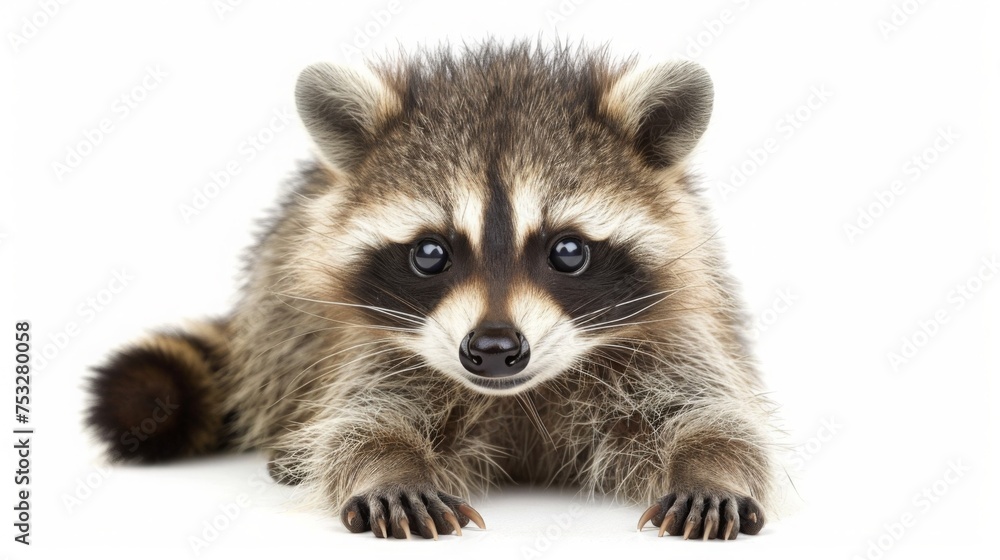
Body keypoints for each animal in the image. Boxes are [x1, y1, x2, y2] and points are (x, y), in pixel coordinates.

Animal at [87, 41, 775, 541]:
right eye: (430, 253)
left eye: (568, 252)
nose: (494, 349)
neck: (521, 398)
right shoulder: (375, 345)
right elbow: (368, 421)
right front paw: (388, 469)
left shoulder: (672, 333)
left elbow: (713, 414)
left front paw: (712, 467)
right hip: (278, 306)